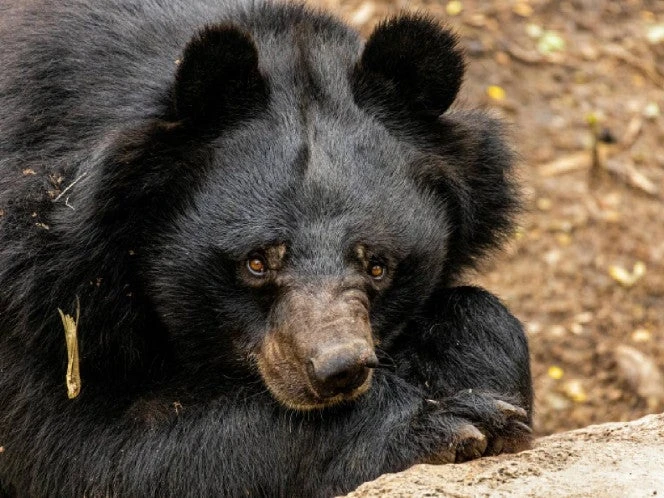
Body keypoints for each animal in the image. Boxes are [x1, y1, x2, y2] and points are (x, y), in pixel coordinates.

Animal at [0, 0, 533, 496]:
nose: (339, 369)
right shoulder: (39, 296)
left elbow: (482, 317)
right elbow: (89, 456)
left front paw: (485, 391)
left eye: (379, 266)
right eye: (256, 262)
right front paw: (450, 422)